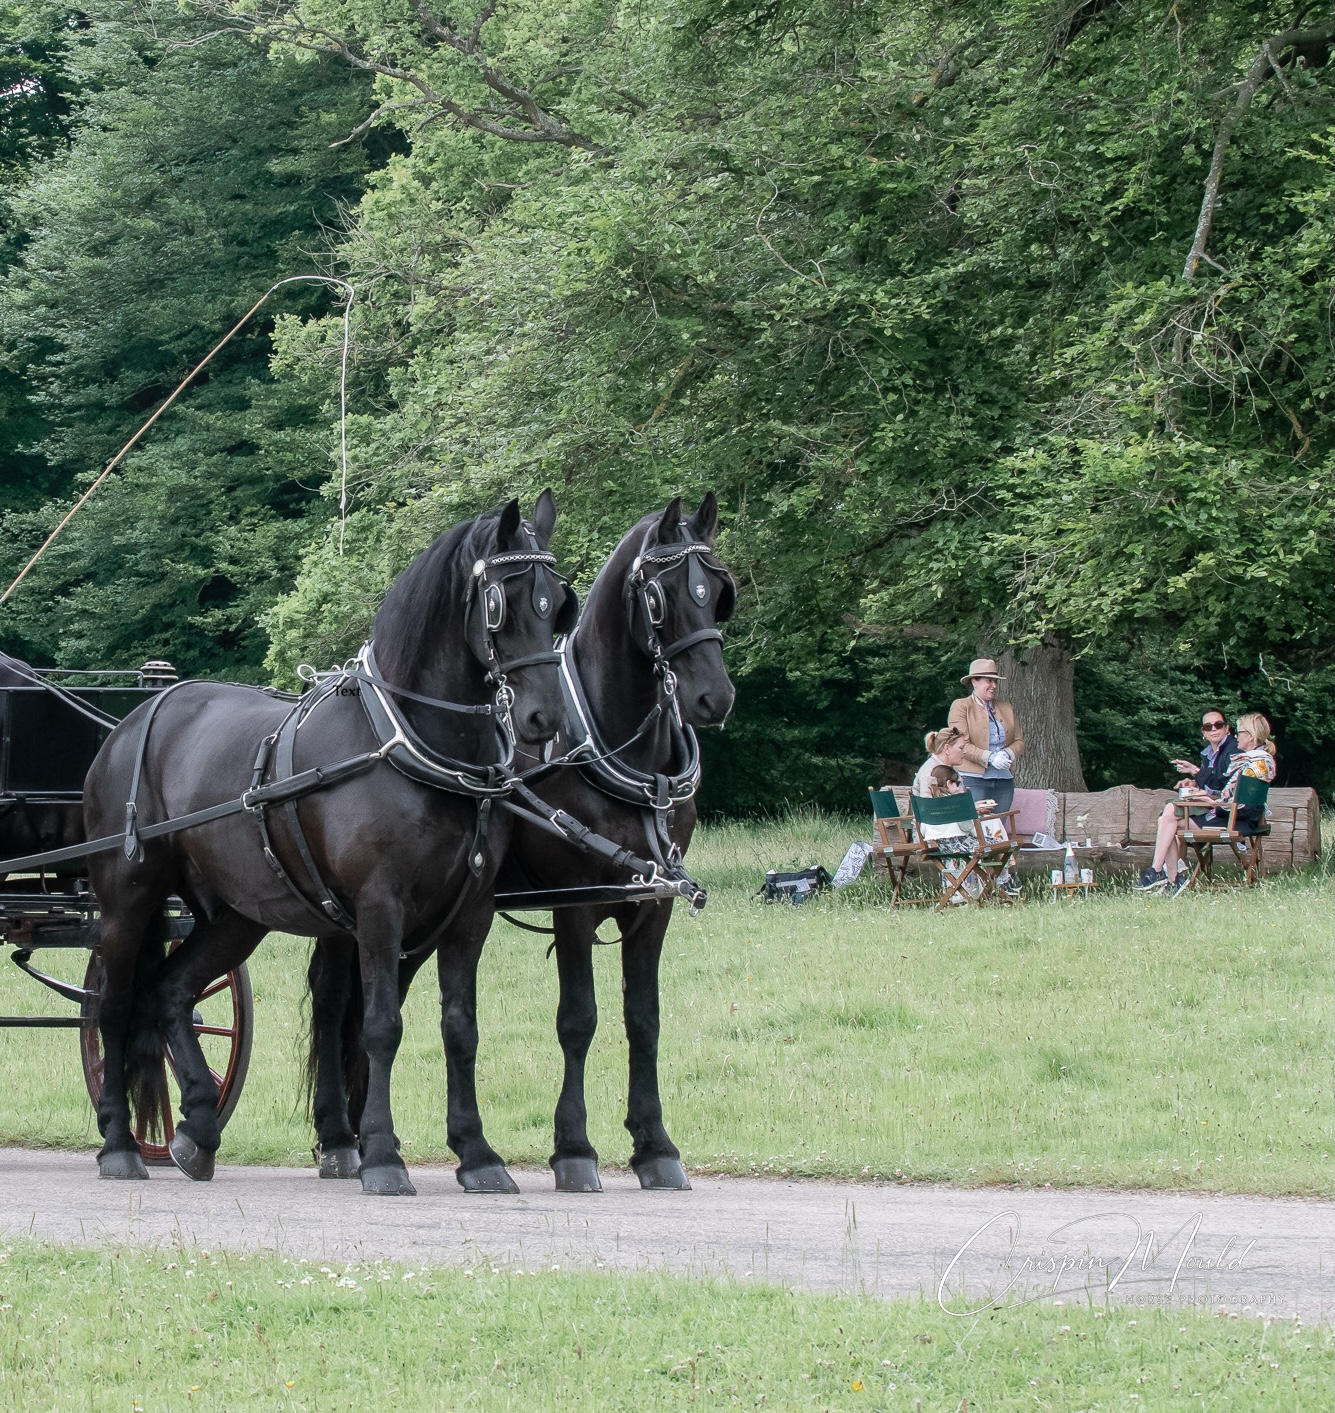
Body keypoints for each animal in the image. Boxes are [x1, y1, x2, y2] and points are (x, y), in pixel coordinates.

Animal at [83, 493, 575, 1195]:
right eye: (501, 603)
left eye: (557, 603)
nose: (544, 718)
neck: (408, 742)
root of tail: (133, 721)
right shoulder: (378, 908)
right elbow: (379, 1026)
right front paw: (383, 1156)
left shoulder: (470, 915)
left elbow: (460, 1029)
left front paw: (478, 1155)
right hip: (128, 900)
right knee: (116, 1006)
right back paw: (119, 1145)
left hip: (236, 913)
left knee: (172, 991)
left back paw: (198, 1127)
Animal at [307, 492, 736, 1192]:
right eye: (660, 595)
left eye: (719, 592)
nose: (714, 697)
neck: (615, 746)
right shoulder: (574, 901)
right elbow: (578, 1019)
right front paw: (574, 1150)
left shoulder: (653, 906)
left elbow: (642, 1019)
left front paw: (654, 1146)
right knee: (333, 1001)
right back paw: (342, 1138)